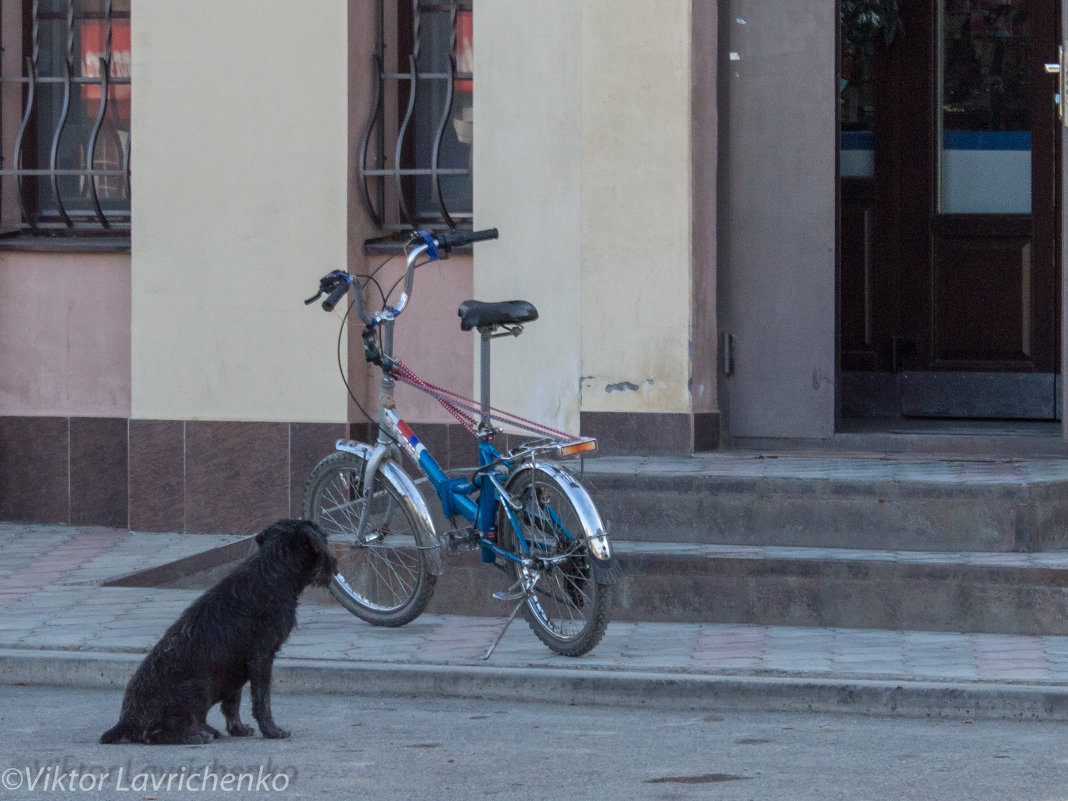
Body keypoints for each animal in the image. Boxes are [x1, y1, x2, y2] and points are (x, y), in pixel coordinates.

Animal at [100, 521, 335, 747]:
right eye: (323, 538)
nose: (334, 565)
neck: (274, 569)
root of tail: (126, 721)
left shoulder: (238, 667)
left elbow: (233, 702)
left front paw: (238, 728)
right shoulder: (262, 657)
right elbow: (262, 700)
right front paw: (271, 731)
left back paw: (207, 730)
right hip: (199, 688)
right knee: (153, 734)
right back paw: (192, 736)